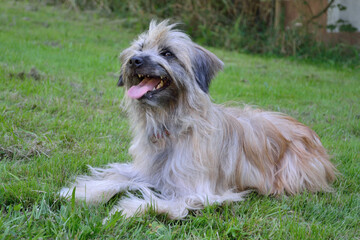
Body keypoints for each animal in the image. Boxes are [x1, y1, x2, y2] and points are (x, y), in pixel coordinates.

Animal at [59, 20, 338, 219]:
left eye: (167, 53)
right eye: (140, 48)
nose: (134, 60)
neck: (172, 123)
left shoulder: (198, 192)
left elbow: (160, 201)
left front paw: (126, 209)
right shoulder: (148, 169)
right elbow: (118, 177)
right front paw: (83, 192)